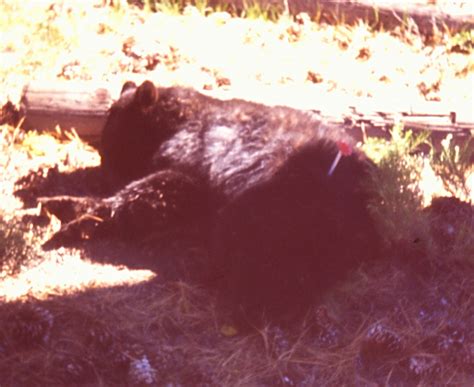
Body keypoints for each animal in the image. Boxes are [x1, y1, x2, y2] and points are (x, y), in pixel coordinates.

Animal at [42, 81, 382, 324]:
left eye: (109, 142)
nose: (102, 174)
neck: (177, 119)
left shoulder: (194, 159)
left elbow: (161, 190)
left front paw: (73, 212)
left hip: (282, 202)